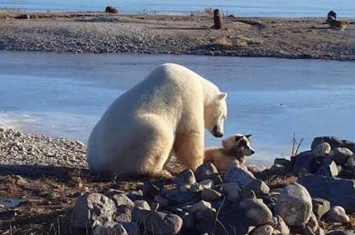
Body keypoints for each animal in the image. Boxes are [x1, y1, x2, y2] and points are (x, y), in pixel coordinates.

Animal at [87, 62, 229, 178]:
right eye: (224, 116)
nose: (220, 133)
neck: (199, 84)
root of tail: (97, 164)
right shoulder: (188, 98)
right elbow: (189, 134)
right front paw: (199, 164)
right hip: (130, 142)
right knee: (160, 134)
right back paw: (160, 172)